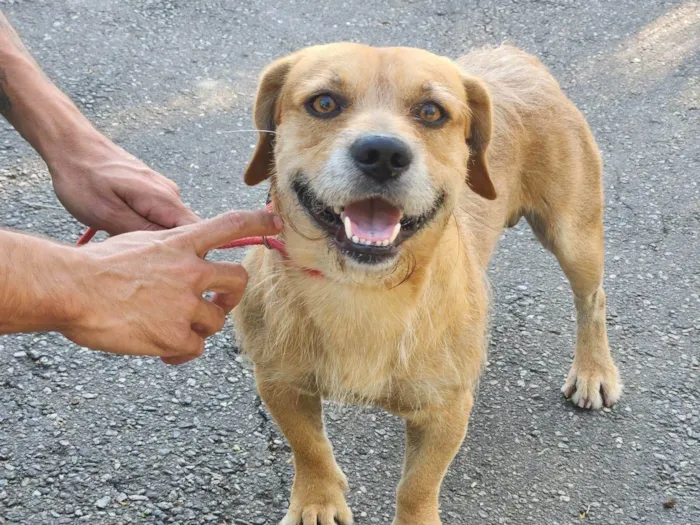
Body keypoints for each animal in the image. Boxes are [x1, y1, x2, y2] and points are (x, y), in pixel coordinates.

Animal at [232, 42, 620, 524]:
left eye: (432, 112)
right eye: (324, 103)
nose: (382, 153)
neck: (364, 289)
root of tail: (513, 55)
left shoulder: (445, 413)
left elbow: (417, 486)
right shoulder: (278, 383)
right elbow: (309, 448)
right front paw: (317, 501)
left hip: (573, 238)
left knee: (593, 299)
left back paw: (594, 369)